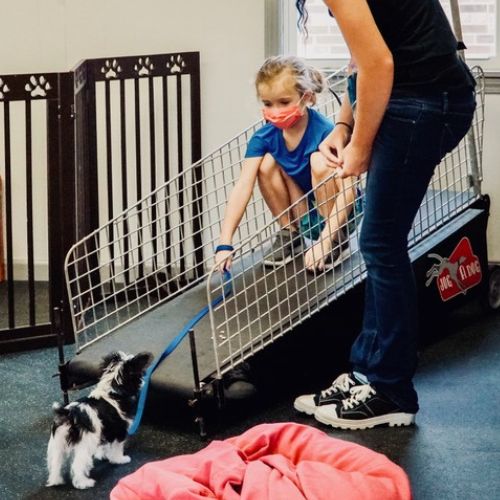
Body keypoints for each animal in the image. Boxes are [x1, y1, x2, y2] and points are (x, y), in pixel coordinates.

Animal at [46, 352, 152, 488]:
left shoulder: (105, 431)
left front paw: (102, 455)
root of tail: (68, 415)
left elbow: (104, 445)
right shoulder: (119, 430)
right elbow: (117, 447)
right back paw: (84, 483)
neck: (113, 391)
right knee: (77, 465)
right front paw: (120, 459)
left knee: (55, 463)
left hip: (58, 443)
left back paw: (56, 480)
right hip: (84, 444)